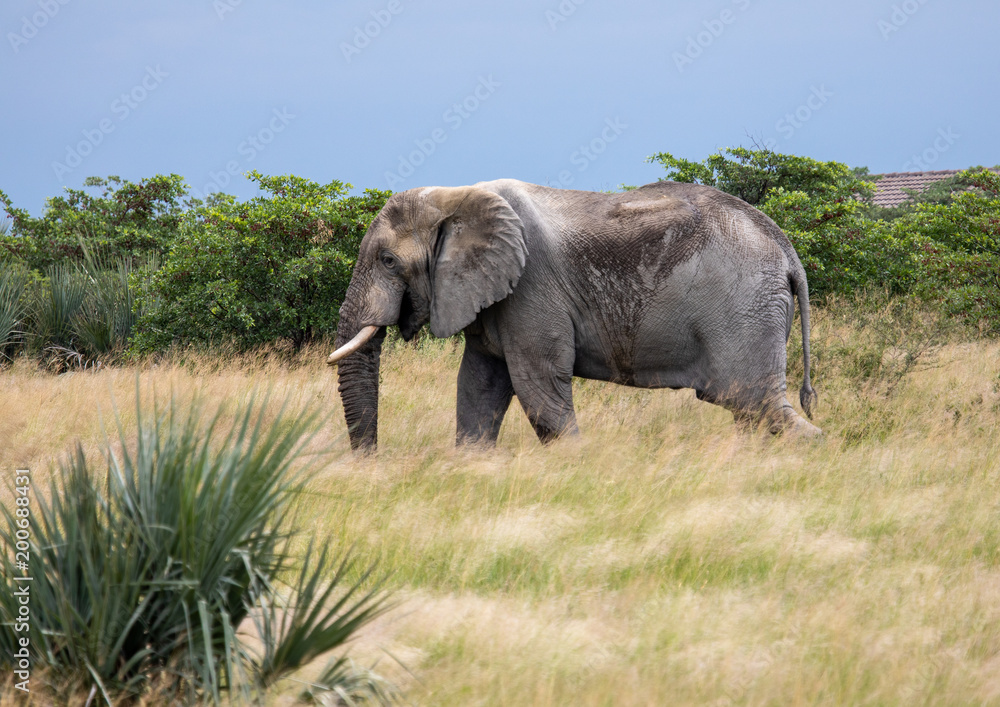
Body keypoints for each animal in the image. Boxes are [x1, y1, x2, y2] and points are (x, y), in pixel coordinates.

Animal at [327, 179, 820, 451]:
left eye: (388, 261)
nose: (372, 461)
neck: (456, 195)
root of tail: (787, 250)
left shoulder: (531, 288)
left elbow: (538, 386)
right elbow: (478, 387)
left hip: (745, 308)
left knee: (756, 402)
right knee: (751, 411)